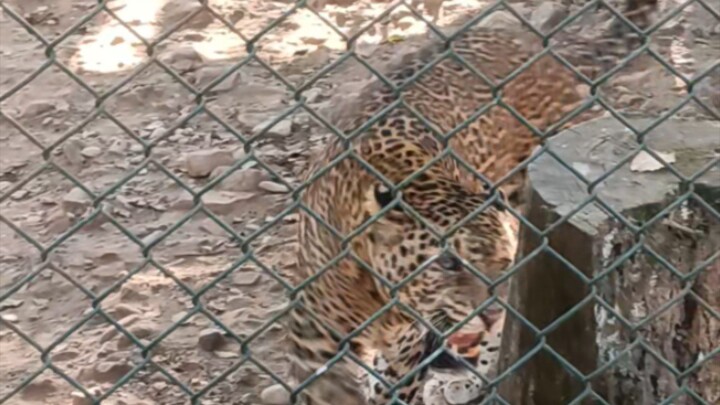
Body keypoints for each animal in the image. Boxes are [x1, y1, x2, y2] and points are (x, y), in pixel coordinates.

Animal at [287, 1, 660, 404]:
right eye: (448, 263)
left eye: (504, 261)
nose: (490, 312)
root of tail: (532, 43)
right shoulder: (311, 343)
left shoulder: (405, 350)